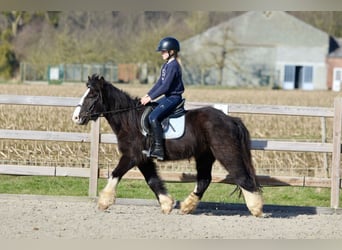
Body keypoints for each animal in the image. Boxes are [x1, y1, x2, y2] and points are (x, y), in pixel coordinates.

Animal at [72, 74, 264, 217]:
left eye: (92, 95)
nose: (76, 117)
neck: (129, 120)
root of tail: (231, 119)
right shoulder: (143, 159)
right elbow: (153, 181)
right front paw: (167, 204)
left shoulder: (132, 155)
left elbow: (115, 174)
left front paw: (103, 202)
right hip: (204, 156)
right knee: (204, 180)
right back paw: (186, 206)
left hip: (225, 152)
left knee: (242, 177)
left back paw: (256, 209)